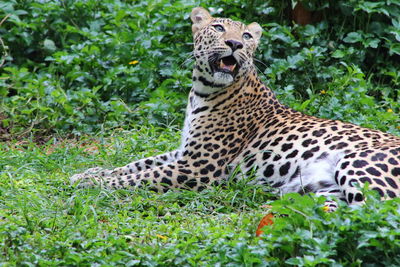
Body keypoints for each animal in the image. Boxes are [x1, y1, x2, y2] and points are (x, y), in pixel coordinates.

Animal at [72, 6, 400, 211]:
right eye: (218, 28)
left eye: (246, 37)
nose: (234, 44)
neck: (202, 91)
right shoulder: (184, 153)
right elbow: (136, 164)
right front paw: (89, 172)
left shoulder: (198, 167)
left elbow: (138, 177)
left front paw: (91, 182)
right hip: (328, 191)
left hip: (356, 164)